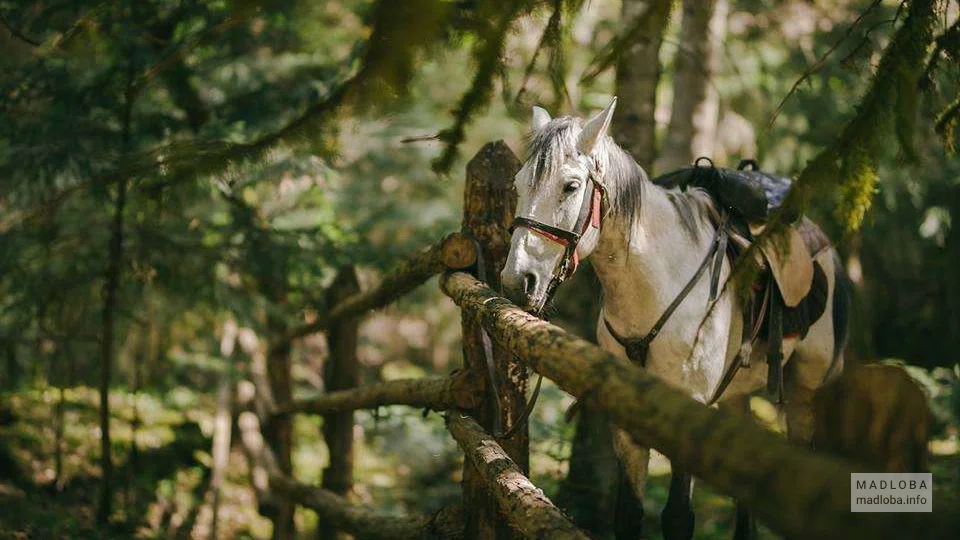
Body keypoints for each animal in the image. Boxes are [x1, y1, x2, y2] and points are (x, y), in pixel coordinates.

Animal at [502, 98, 848, 540]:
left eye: (571, 186)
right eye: (518, 185)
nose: (517, 280)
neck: (656, 285)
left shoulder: (690, 406)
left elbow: (679, 518)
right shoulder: (626, 419)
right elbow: (628, 514)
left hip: (806, 393)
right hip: (736, 396)